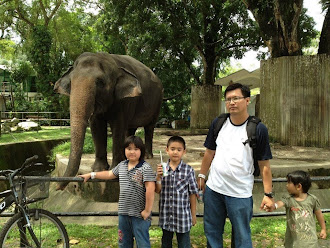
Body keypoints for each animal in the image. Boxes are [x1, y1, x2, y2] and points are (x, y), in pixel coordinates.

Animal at [54, 51, 164, 189]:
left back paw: (148, 156)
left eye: (100, 82)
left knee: (149, 127)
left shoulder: (125, 100)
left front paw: (114, 168)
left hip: (158, 102)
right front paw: (99, 169)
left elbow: (118, 127)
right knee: (130, 129)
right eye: (71, 83)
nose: (57, 187)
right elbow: (96, 127)